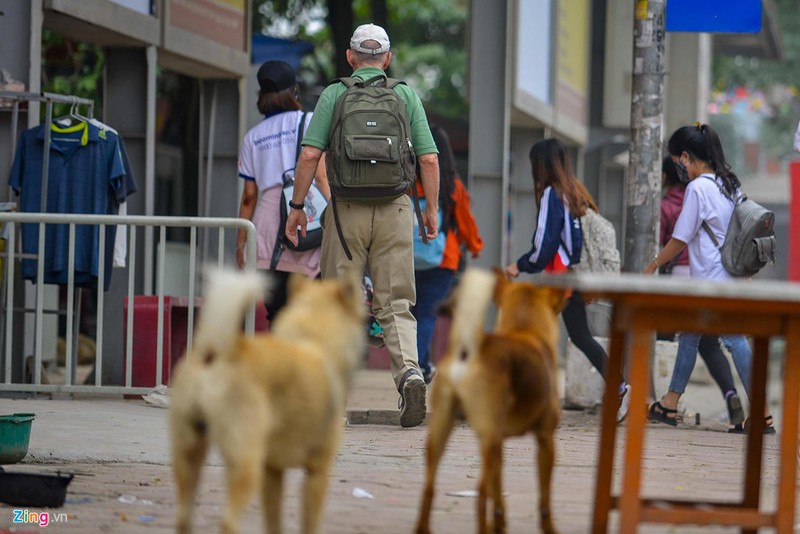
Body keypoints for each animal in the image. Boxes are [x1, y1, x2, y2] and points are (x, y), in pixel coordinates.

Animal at [172, 268, 366, 534]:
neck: (313, 337)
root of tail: (218, 351)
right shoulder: (317, 472)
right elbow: (310, 524)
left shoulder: (272, 472)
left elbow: (274, 522)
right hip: (246, 462)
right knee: (227, 520)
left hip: (189, 454)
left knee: (183, 516)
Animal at [416, 268, 564, 534]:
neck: (525, 330)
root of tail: (468, 351)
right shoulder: (545, 440)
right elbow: (544, 498)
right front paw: (548, 527)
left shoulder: (498, 443)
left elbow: (499, 494)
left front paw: (500, 524)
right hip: (490, 440)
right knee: (480, 492)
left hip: (446, 433)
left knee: (429, 487)